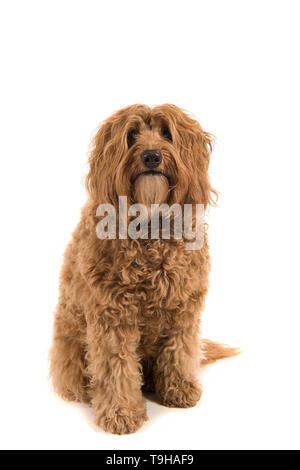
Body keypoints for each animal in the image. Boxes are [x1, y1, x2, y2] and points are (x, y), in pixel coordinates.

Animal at [49, 104, 239, 436]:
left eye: (166, 133)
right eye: (132, 135)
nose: (151, 156)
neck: (150, 224)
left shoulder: (184, 309)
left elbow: (179, 351)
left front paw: (179, 389)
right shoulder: (112, 317)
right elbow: (116, 368)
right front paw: (121, 412)